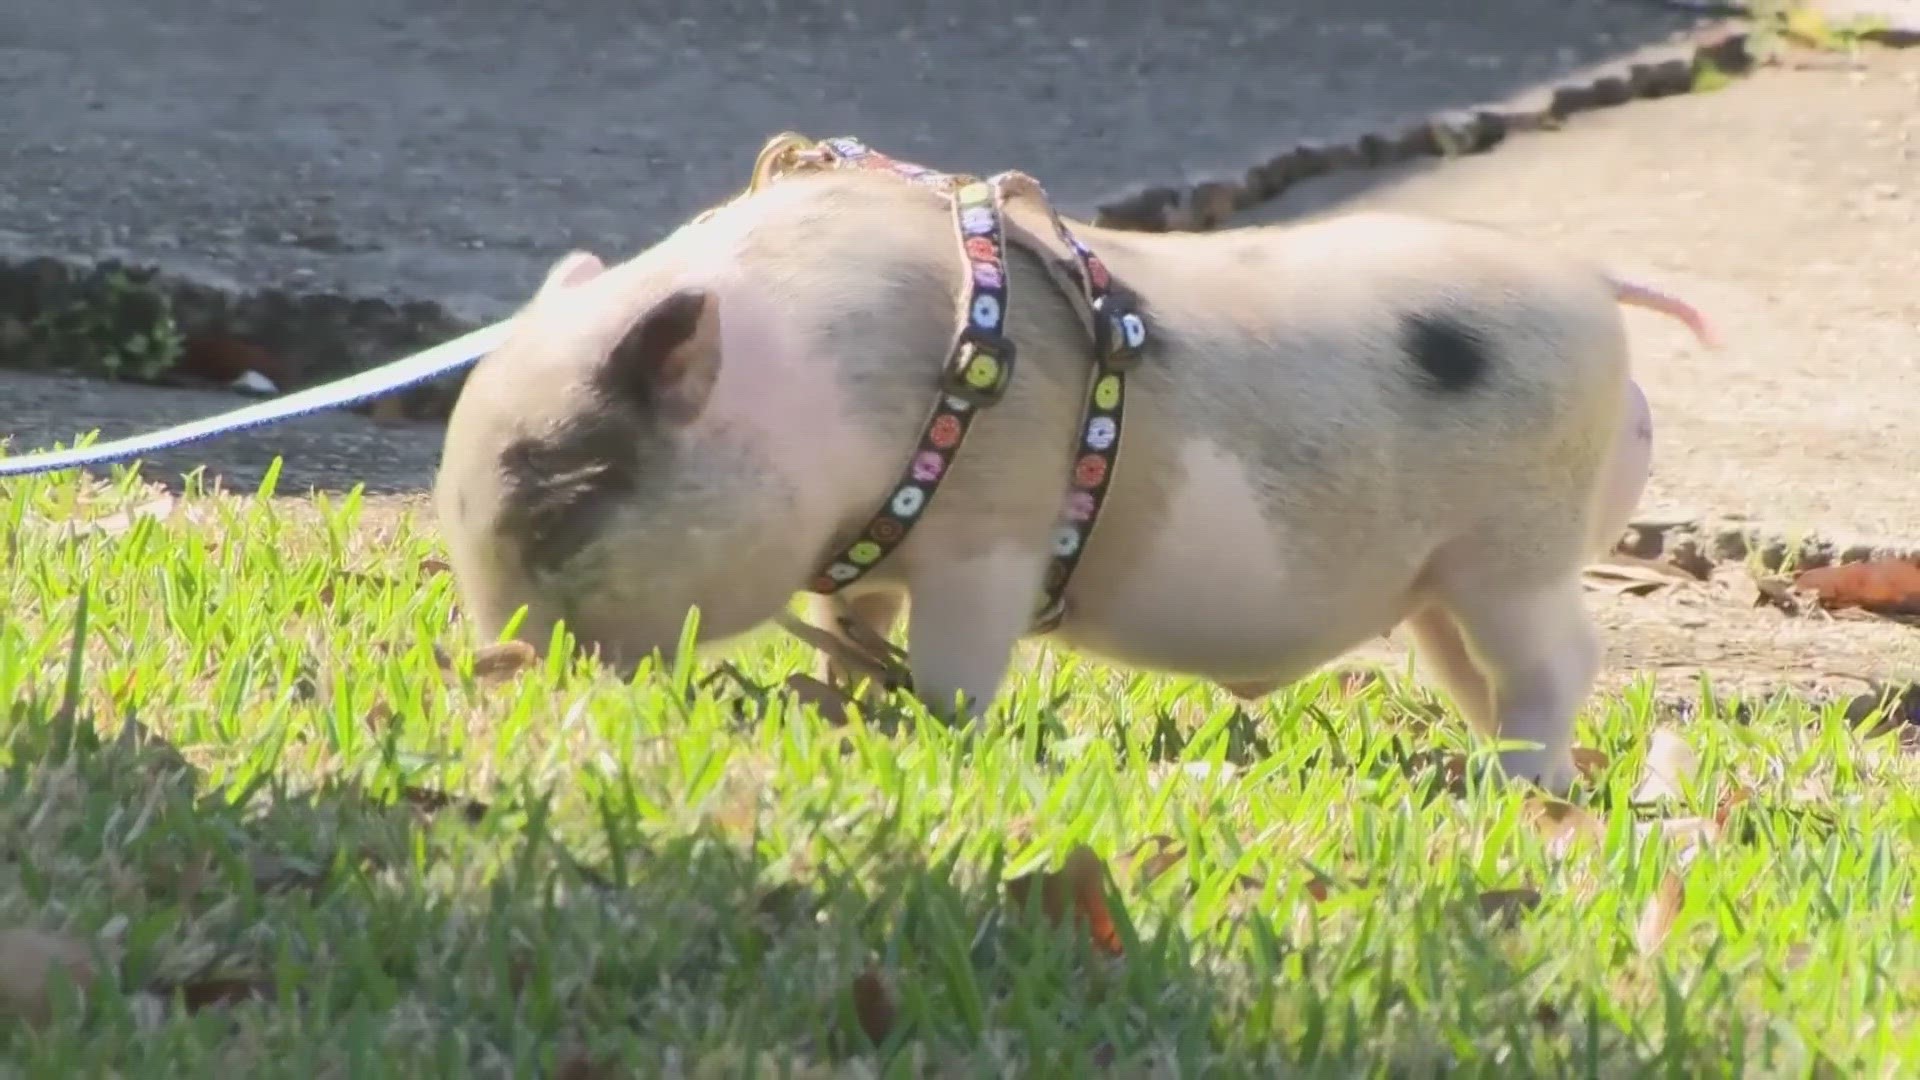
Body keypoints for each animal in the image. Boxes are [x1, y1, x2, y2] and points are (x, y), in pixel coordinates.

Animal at [435, 166, 1712, 791]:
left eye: (564, 505)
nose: (494, 666)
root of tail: (1596, 291)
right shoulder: (873, 549)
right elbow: (850, 621)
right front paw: (840, 698)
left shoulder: (989, 530)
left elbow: (957, 662)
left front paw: (935, 727)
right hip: (1443, 582)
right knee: (1478, 672)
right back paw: (1491, 767)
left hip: (1519, 552)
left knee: (1563, 660)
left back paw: (1527, 787)